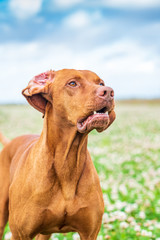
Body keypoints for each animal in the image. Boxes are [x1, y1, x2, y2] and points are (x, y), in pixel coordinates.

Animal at [0, 68, 115, 239]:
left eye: (101, 83)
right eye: (72, 83)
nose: (108, 91)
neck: (66, 161)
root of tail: (10, 143)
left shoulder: (90, 233)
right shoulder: (21, 234)